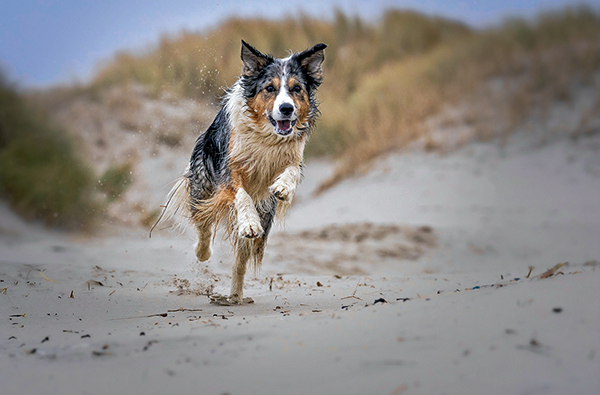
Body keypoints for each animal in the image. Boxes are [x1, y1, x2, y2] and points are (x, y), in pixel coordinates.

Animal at [157, 40, 326, 304]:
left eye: (296, 88)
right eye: (269, 88)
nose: (286, 108)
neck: (266, 137)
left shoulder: (292, 157)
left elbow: (292, 170)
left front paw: (283, 187)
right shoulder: (230, 170)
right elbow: (242, 195)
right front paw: (248, 222)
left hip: (263, 213)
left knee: (241, 259)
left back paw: (235, 296)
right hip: (202, 188)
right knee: (203, 224)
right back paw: (203, 253)